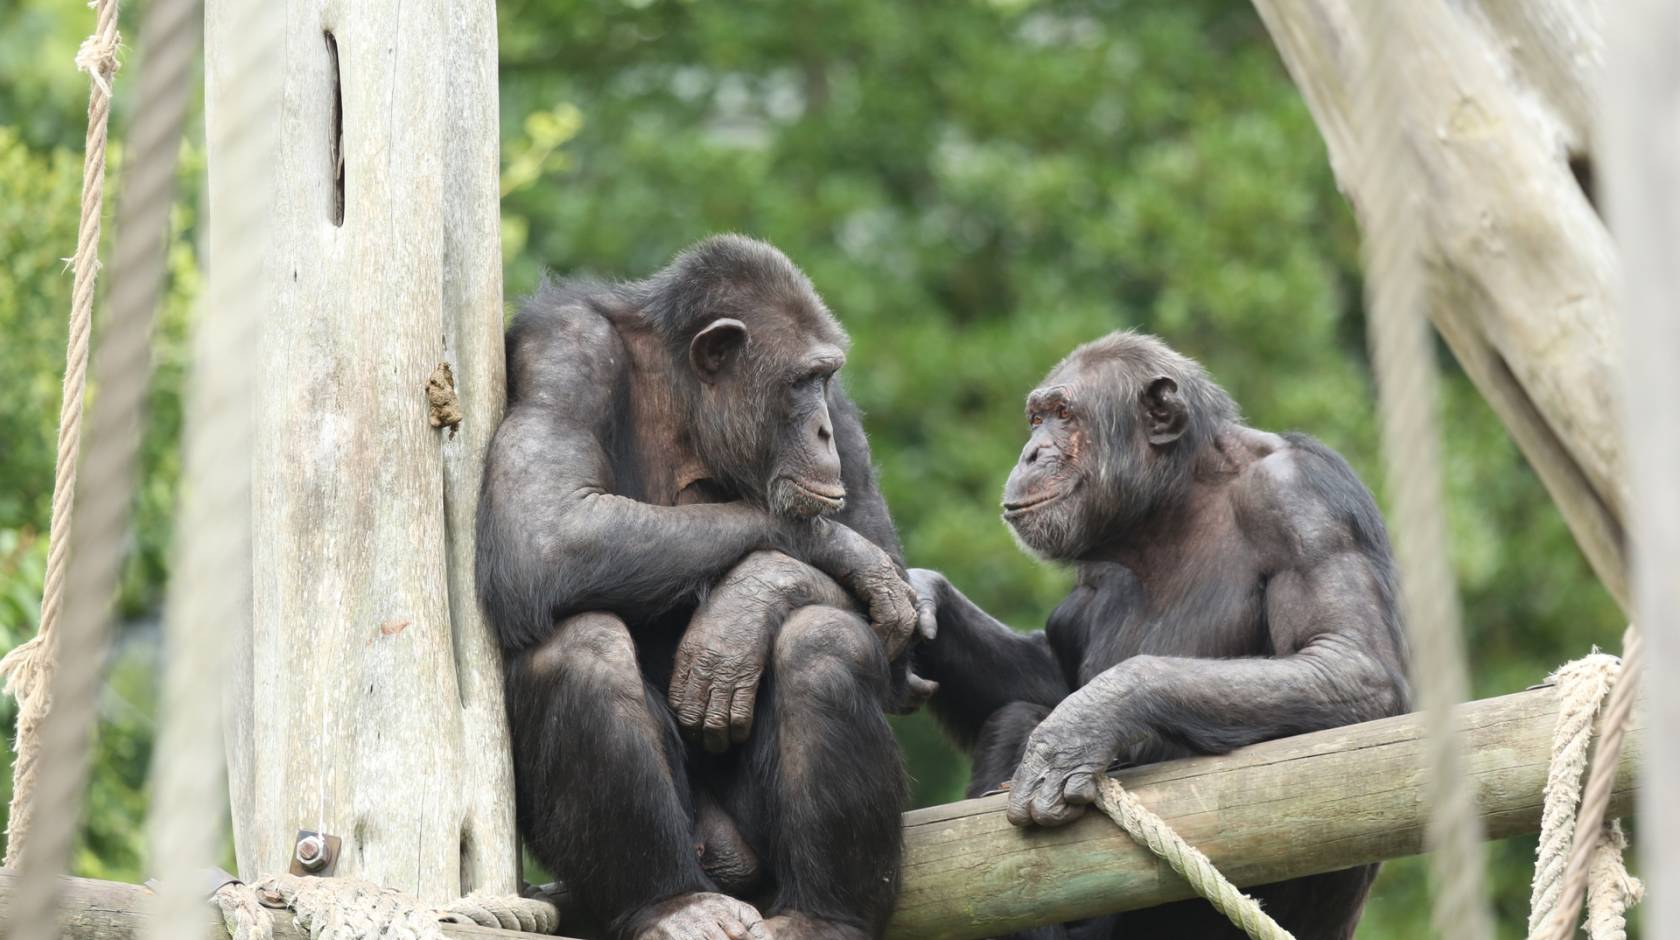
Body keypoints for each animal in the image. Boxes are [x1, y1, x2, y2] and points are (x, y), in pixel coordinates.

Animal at [473, 235, 920, 940]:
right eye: (800, 382)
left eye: (824, 378)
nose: (819, 428)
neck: (686, 397)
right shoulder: (563, 351)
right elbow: (544, 528)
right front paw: (833, 549)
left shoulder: (847, 417)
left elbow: (900, 609)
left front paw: (750, 602)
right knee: (580, 649)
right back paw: (673, 904)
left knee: (823, 644)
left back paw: (824, 916)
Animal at [913, 332, 1411, 940]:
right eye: (1035, 418)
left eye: (1063, 415)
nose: (1031, 452)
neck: (1170, 507)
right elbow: (1048, 675)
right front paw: (922, 599)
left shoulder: (1302, 500)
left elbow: (1349, 661)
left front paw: (1086, 723)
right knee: (1015, 713)